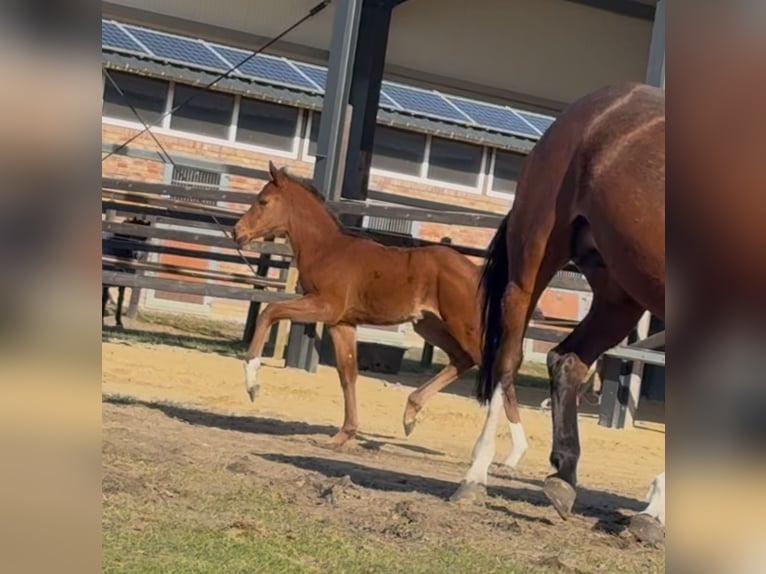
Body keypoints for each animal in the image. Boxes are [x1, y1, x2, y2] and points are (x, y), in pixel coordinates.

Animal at [232, 162, 536, 468]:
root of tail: (477, 273)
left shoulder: (325, 306)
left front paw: (252, 384)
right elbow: (348, 374)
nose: (236, 232)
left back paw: (515, 453)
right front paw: (343, 435)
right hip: (431, 326)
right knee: (462, 359)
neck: (326, 250)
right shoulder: (342, 323)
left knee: (496, 368)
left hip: (464, 325)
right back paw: (411, 413)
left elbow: (270, 311)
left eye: (263, 201)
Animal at [452, 83, 668, 548]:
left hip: (618, 296)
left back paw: (564, 476)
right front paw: (654, 511)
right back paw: (475, 477)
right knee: (507, 363)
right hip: (532, 263)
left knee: (568, 360)